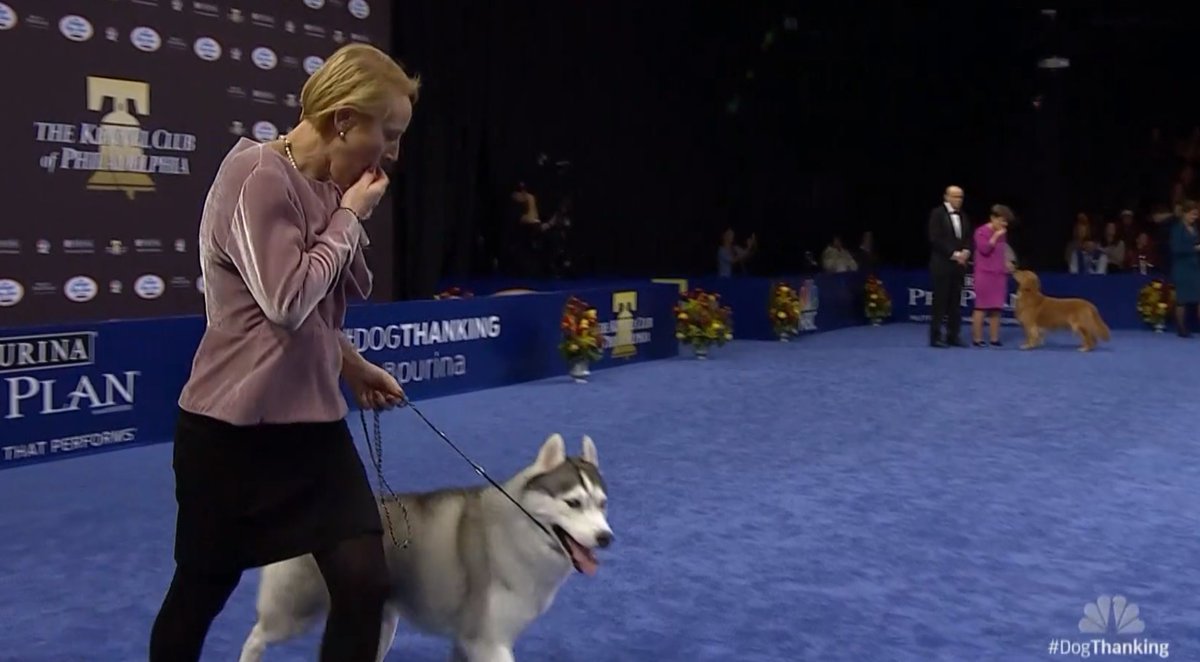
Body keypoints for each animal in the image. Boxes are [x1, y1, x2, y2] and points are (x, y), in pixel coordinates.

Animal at [238, 434, 614, 662]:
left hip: (380, 621)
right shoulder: (489, 641)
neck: (516, 532)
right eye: (573, 503)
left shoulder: (469, 639)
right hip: (295, 611)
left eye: (601, 504)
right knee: (257, 635)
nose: (606, 537)